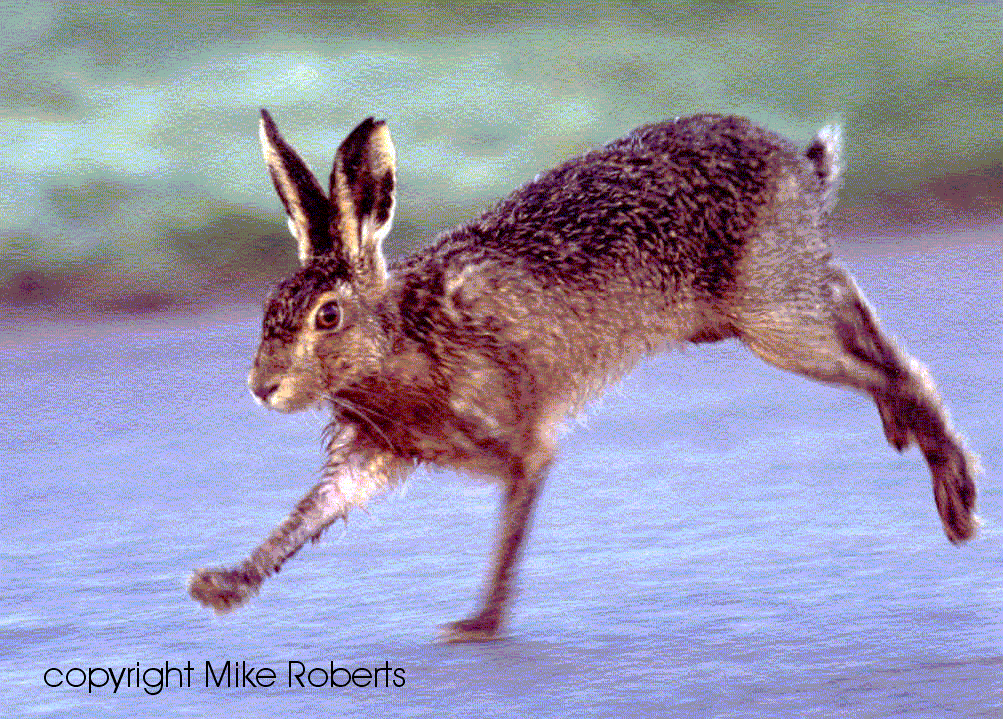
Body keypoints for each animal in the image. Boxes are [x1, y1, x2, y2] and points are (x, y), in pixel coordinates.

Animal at [188, 110, 980, 642]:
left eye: (326, 316)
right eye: (269, 306)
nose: (262, 387)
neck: (401, 335)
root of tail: (804, 167)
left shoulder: (520, 444)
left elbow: (509, 530)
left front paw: (480, 623)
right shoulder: (375, 453)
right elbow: (307, 517)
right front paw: (222, 587)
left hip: (771, 318)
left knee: (889, 364)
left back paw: (956, 497)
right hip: (762, 305)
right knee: (859, 316)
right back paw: (912, 440)